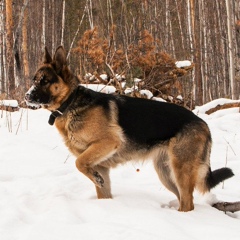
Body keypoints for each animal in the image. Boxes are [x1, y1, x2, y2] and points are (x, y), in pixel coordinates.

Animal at [25, 46, 233, 211]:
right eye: (34, 80)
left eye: (44, 81)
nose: (26, 96)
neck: (70, 103)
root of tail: (203, 122)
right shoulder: (101, 165)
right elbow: (100, 188)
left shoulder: (107, 143)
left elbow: (79, 163)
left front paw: (95, 178)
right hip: (166, 173)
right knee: (184, 200)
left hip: (180, 170)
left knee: (188, 203)